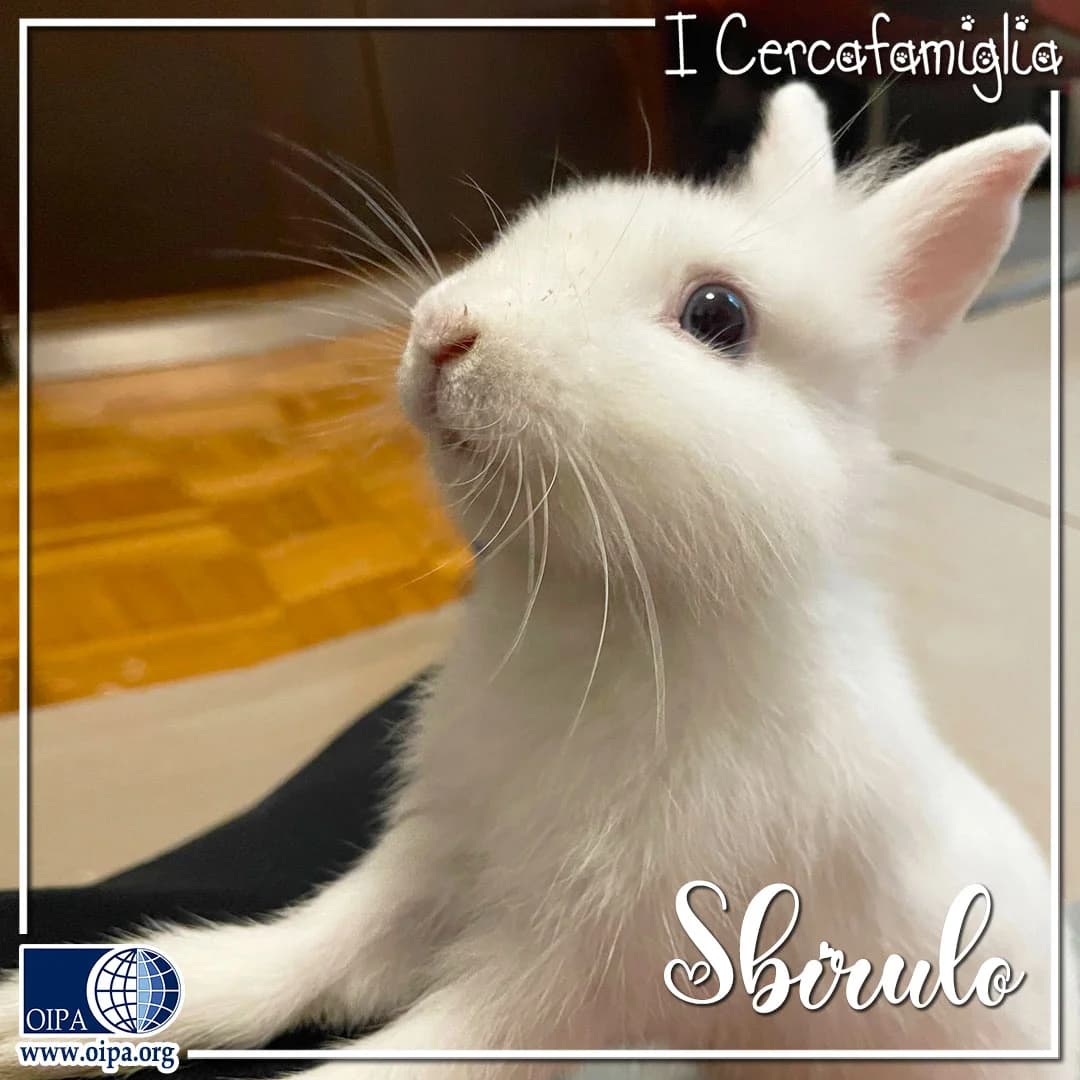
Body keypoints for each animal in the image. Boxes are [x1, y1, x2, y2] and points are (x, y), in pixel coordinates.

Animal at [1, 82, 1073, 1080]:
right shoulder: (431, 862)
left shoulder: (581, 971)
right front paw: (30, 1015)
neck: (594, 616)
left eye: (718, 315)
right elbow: (310, 949)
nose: (442, 331)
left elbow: (415, 1049)